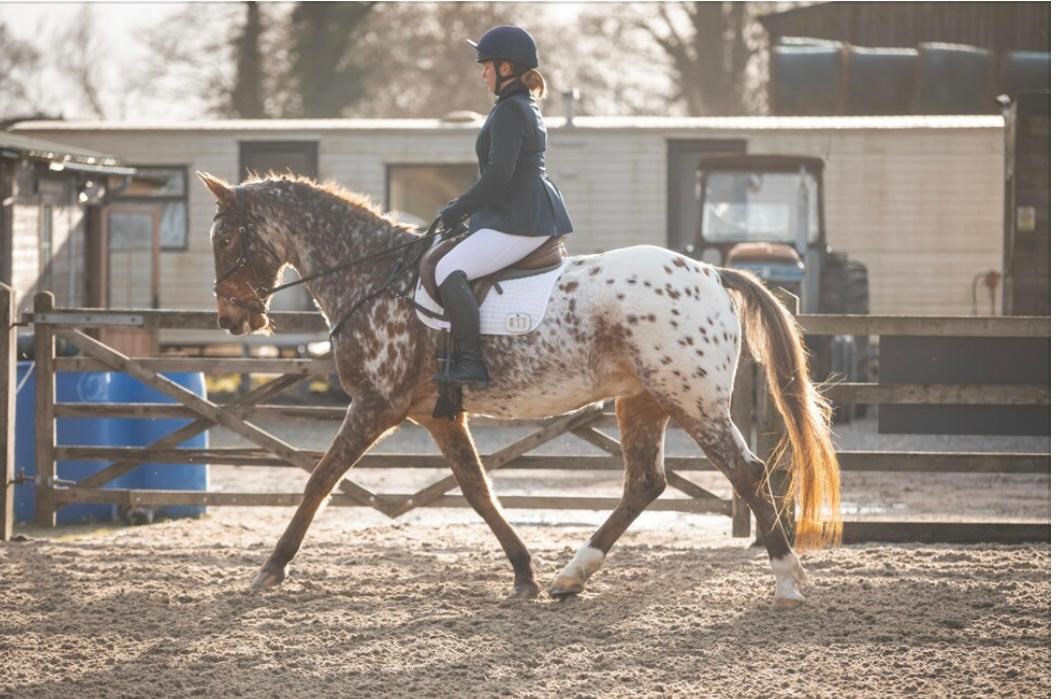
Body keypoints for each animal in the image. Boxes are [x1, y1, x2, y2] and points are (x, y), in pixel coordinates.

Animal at [197, 171, 842, 608]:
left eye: (226, 239)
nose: (231, 319)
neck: (372, 277)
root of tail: (712, 272)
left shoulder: (375, 405)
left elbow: (319, 479)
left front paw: (270, 568)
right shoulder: (438, 415)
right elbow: (478, 490)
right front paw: (524, 573)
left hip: (692, 400)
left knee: (746, 473)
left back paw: (788, 581)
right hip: (642, 400)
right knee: (644, 483)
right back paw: (570, 576)